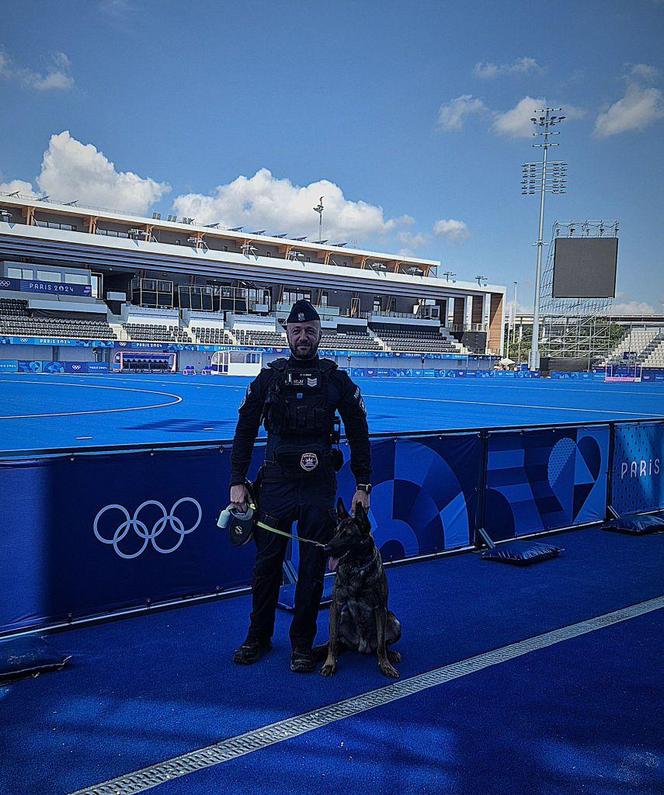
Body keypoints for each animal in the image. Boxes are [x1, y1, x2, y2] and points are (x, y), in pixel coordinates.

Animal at [320, 498, 402, 676]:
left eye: (347, 535)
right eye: (335, 531)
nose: (325, 549)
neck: (356, 567)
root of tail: (362, 646)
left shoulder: (380, 608)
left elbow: (381, 644)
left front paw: (385, 665)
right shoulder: (336, 606)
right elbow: (332, 642)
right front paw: (329, 663)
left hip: (393, 620)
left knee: (381, 645)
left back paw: (390, 654)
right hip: (341, 617)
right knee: (336, 642)